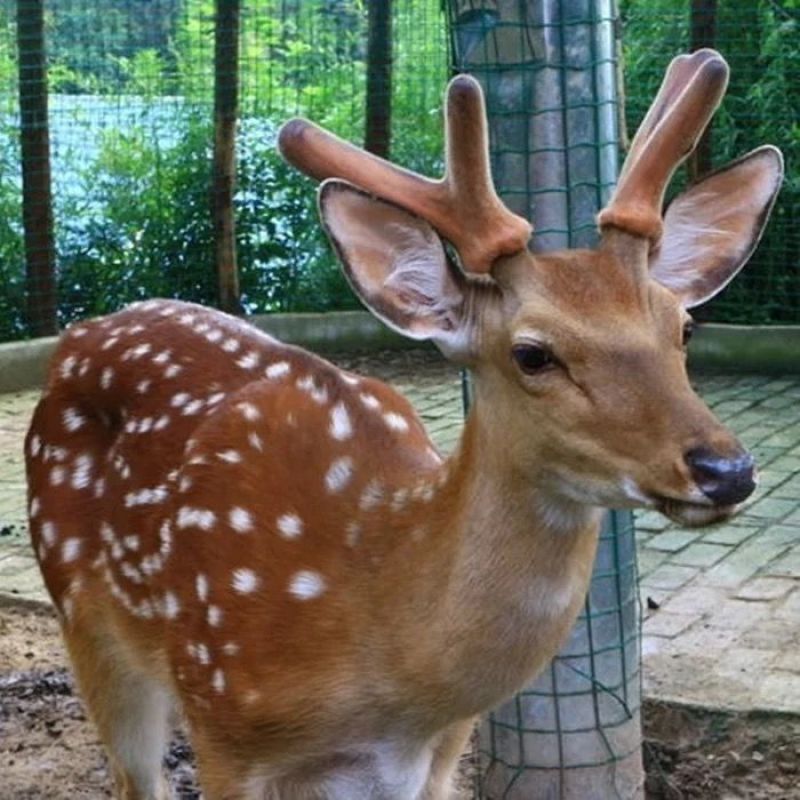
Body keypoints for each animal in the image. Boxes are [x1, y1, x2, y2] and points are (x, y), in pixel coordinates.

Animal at [26, 49, 781, 799]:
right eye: (533, 354)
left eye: (683, 327)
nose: (725, 470)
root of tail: (77, 337)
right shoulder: (221, 717)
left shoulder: (440, 751)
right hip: (87, 621)